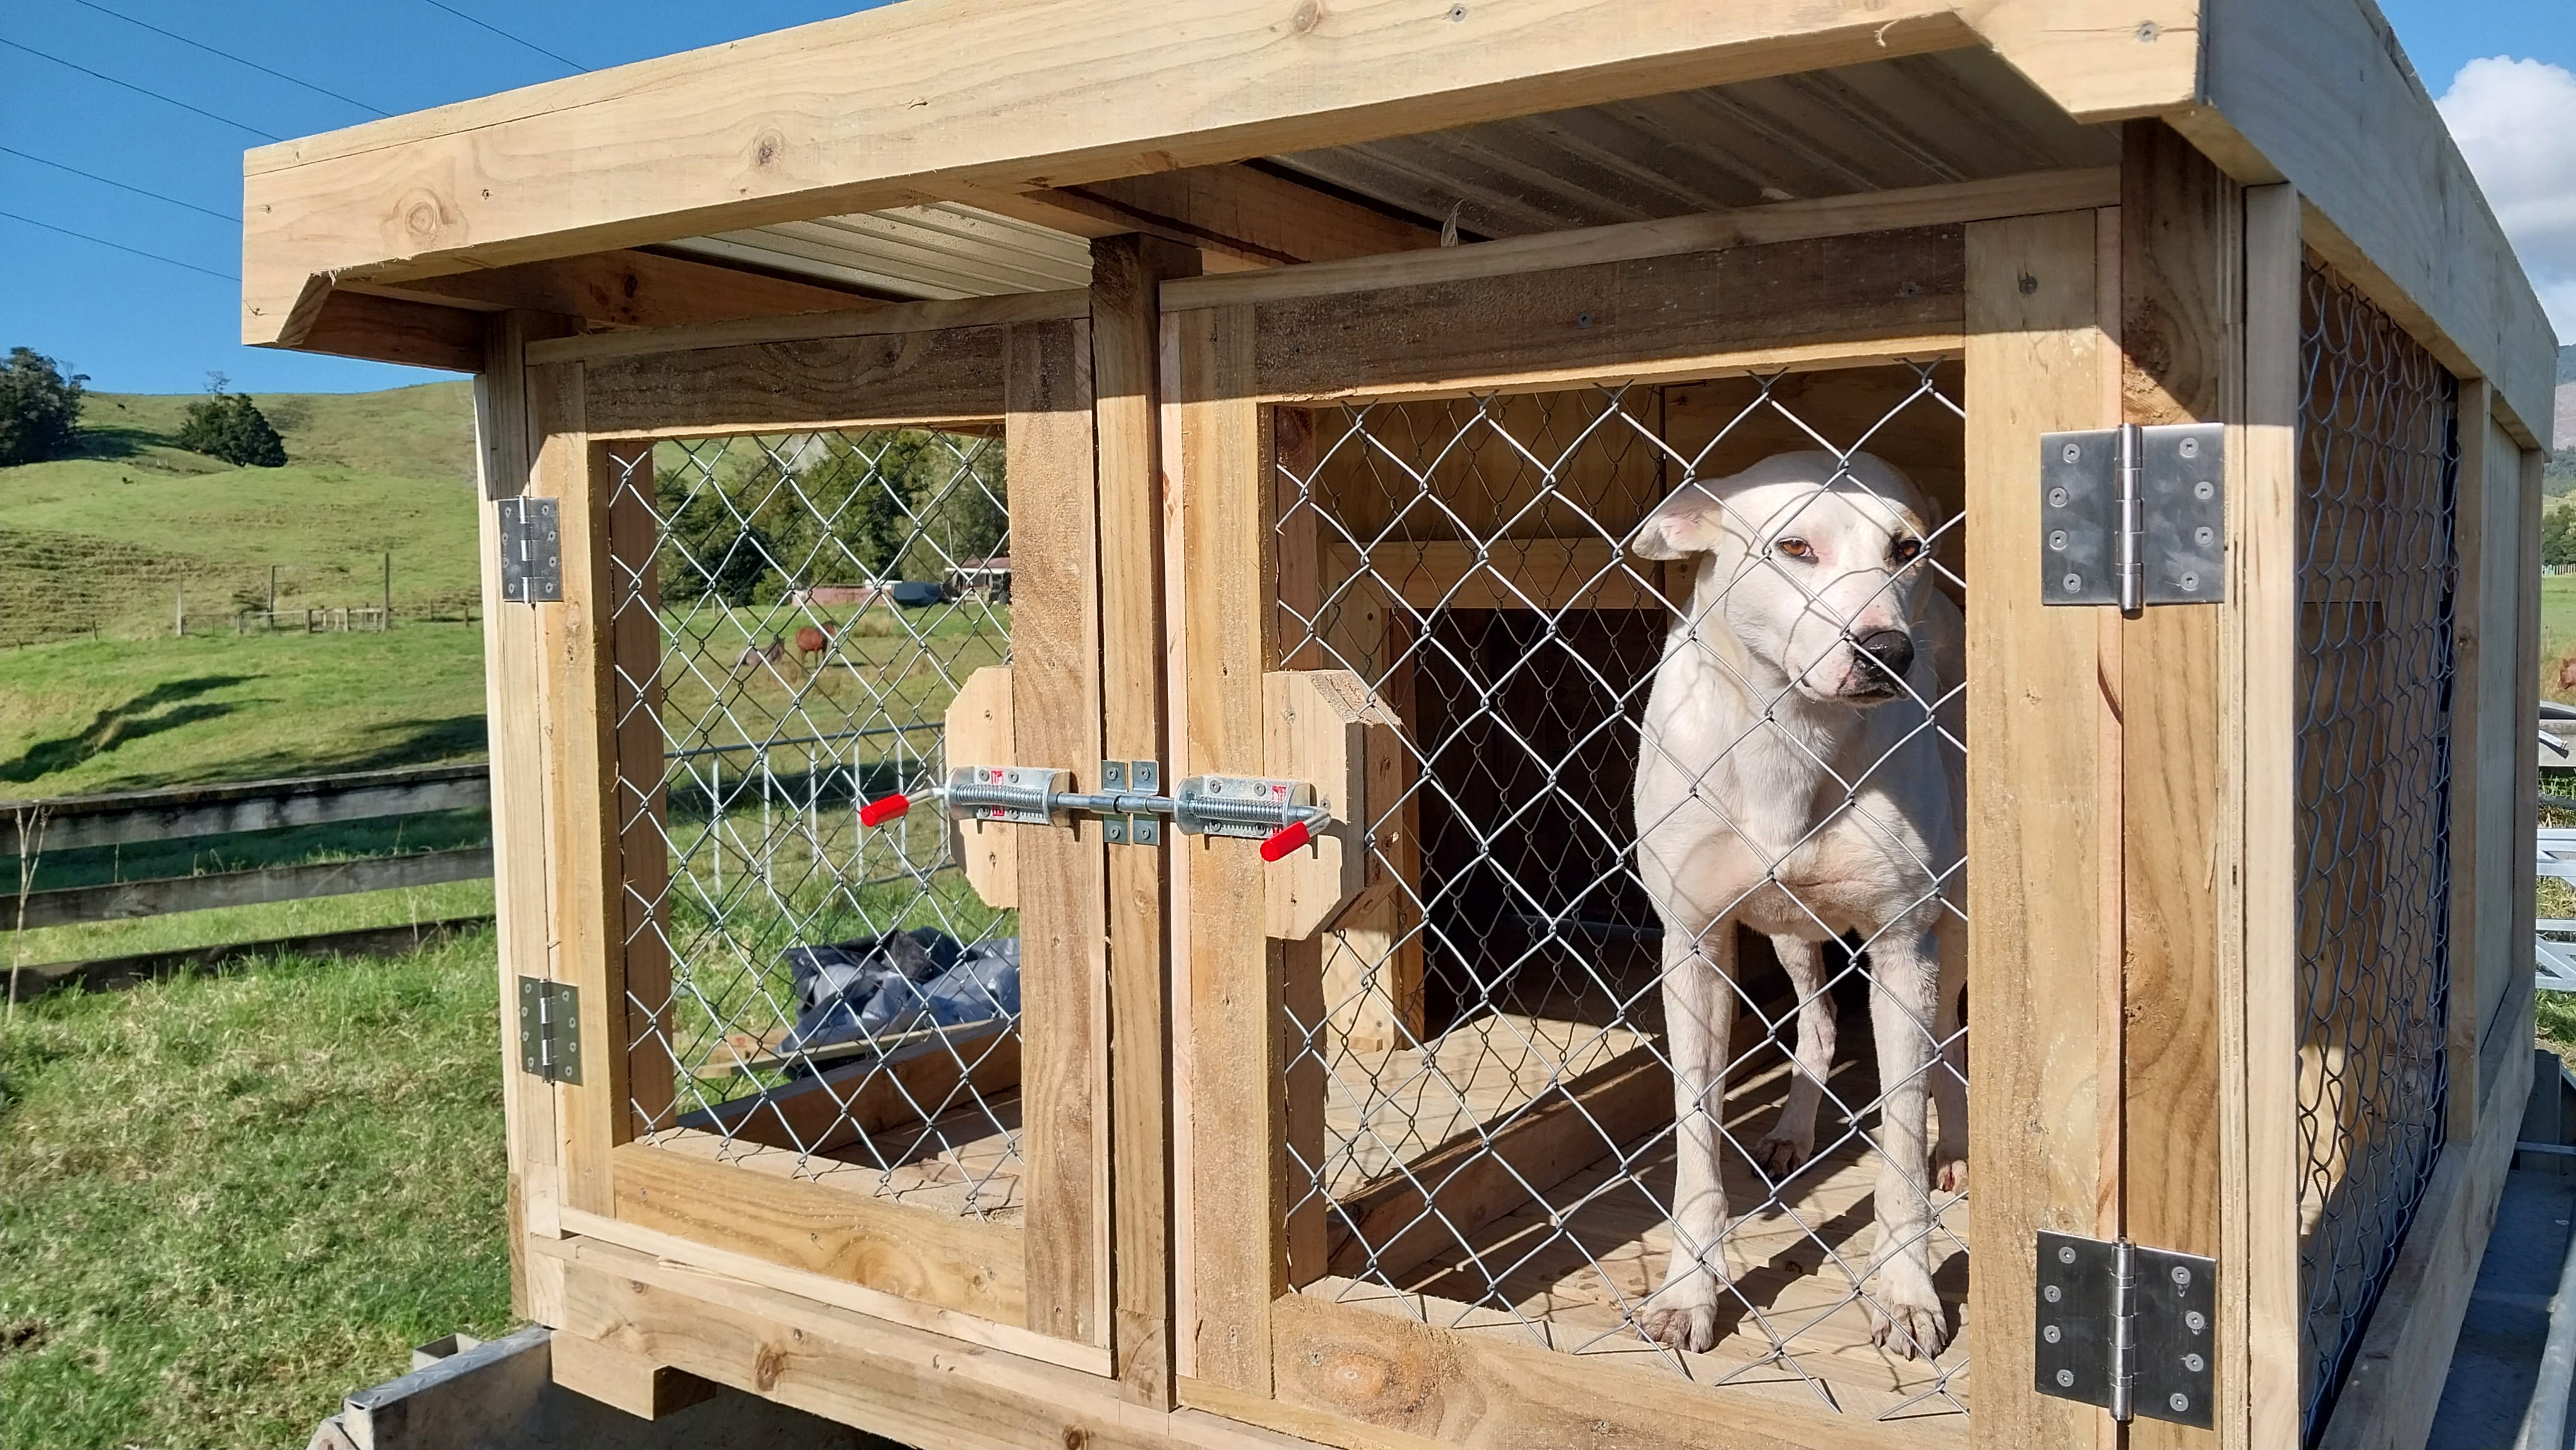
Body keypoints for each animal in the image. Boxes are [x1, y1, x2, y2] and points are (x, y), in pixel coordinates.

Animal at [1628, 450, 1968, 1360]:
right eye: (1795, 547)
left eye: (1907, 548)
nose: (1887, 650)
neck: (1793, 738)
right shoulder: (1693, 945)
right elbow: (1696, 1144)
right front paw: (1688, 1292)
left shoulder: (1905, 943)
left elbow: (1901, 1145)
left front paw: (1907, 1292)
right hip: (1788, 931)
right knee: (1815, 1022)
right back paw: (1792, 1128)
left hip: (1952, 921)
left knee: (1949, 1040)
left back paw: (1956, 1144)